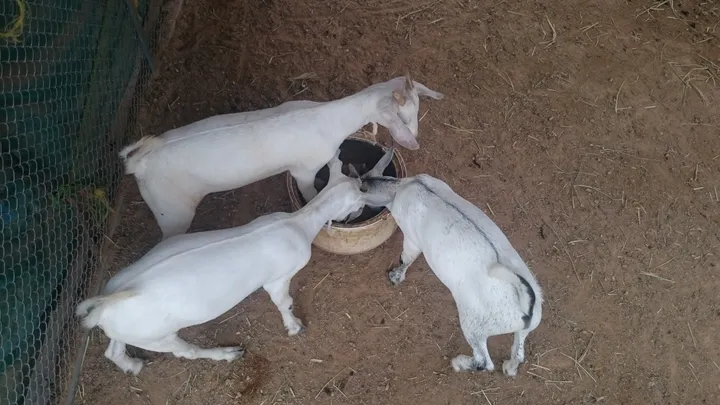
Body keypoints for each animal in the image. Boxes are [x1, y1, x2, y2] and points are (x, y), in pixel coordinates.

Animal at [75, 148, 396, 375]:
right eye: (359, 201)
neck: (299, 221)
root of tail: (104, 307)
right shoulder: (278, 278)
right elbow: (284, 302)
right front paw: (294, 327)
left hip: (129, 329)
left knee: (113, 350)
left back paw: (132, 366)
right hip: (157, 335)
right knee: (183, 352)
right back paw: (227, 354)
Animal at [119, 76, 443, 239]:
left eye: (418, 107)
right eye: (404, 115)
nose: (414, 140)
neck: (329, 118)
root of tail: (139, 161)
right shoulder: (305, 170)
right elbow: (311, 194)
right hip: (171, 211)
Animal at [358, 173, 543, 377]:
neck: (402, 186)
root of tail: (524, 303)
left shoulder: (412, 238)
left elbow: (406, 258)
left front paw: (396, 276)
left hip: (474, 325)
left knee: (484, 362)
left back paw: (459, 363)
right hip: (529, 324)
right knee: (518, 352)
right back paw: (509, 367)